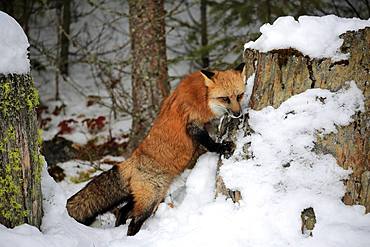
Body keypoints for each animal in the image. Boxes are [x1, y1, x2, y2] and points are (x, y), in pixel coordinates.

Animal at [66, 63, 246, 235]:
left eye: (239, 96)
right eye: (225, 98)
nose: (238, 114)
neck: (203, 95)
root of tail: (130, 161)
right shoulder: (193, 124)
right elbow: (209, 143)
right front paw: (222, 147)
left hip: (146, 197)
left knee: (122, 211)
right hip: (150, 200)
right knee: (133, 223)